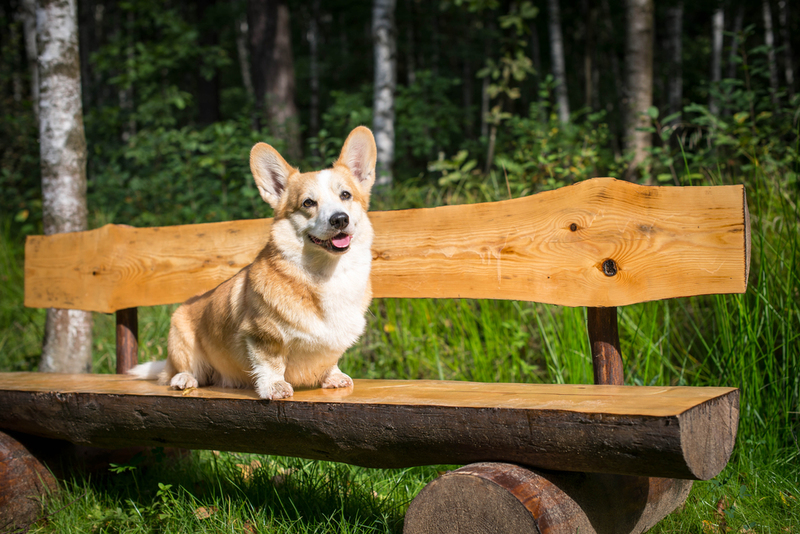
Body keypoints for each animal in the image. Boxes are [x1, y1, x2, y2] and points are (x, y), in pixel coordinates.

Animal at [130, 127, 380, 400]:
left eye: (345, 195)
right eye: (308, 203)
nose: (340, 219)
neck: (326, 273)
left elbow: (329, 360)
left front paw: (333, 376)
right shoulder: (261, 335)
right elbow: (270, 363)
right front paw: (275, 387)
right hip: (179, 335)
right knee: (180, 370)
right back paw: (183, 378)